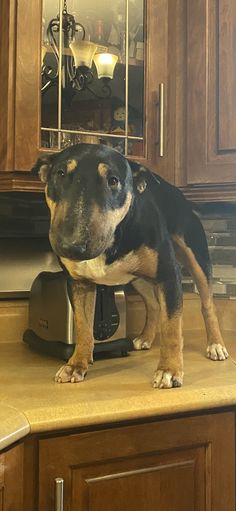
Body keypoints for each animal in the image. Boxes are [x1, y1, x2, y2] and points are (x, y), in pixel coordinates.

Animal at [32, 144, 228, 388]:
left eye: (113, 180)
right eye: (59, 174)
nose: (72, 245)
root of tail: (179, 193)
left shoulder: (168, 275)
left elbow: (172, 327)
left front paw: (169, 371)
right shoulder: (79, 283)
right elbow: (83, 326)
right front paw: (76, 365)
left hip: (195, 257)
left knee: (207, 304)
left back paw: (216, 345)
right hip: (138, 277)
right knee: (153, 304)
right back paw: (145, 338)